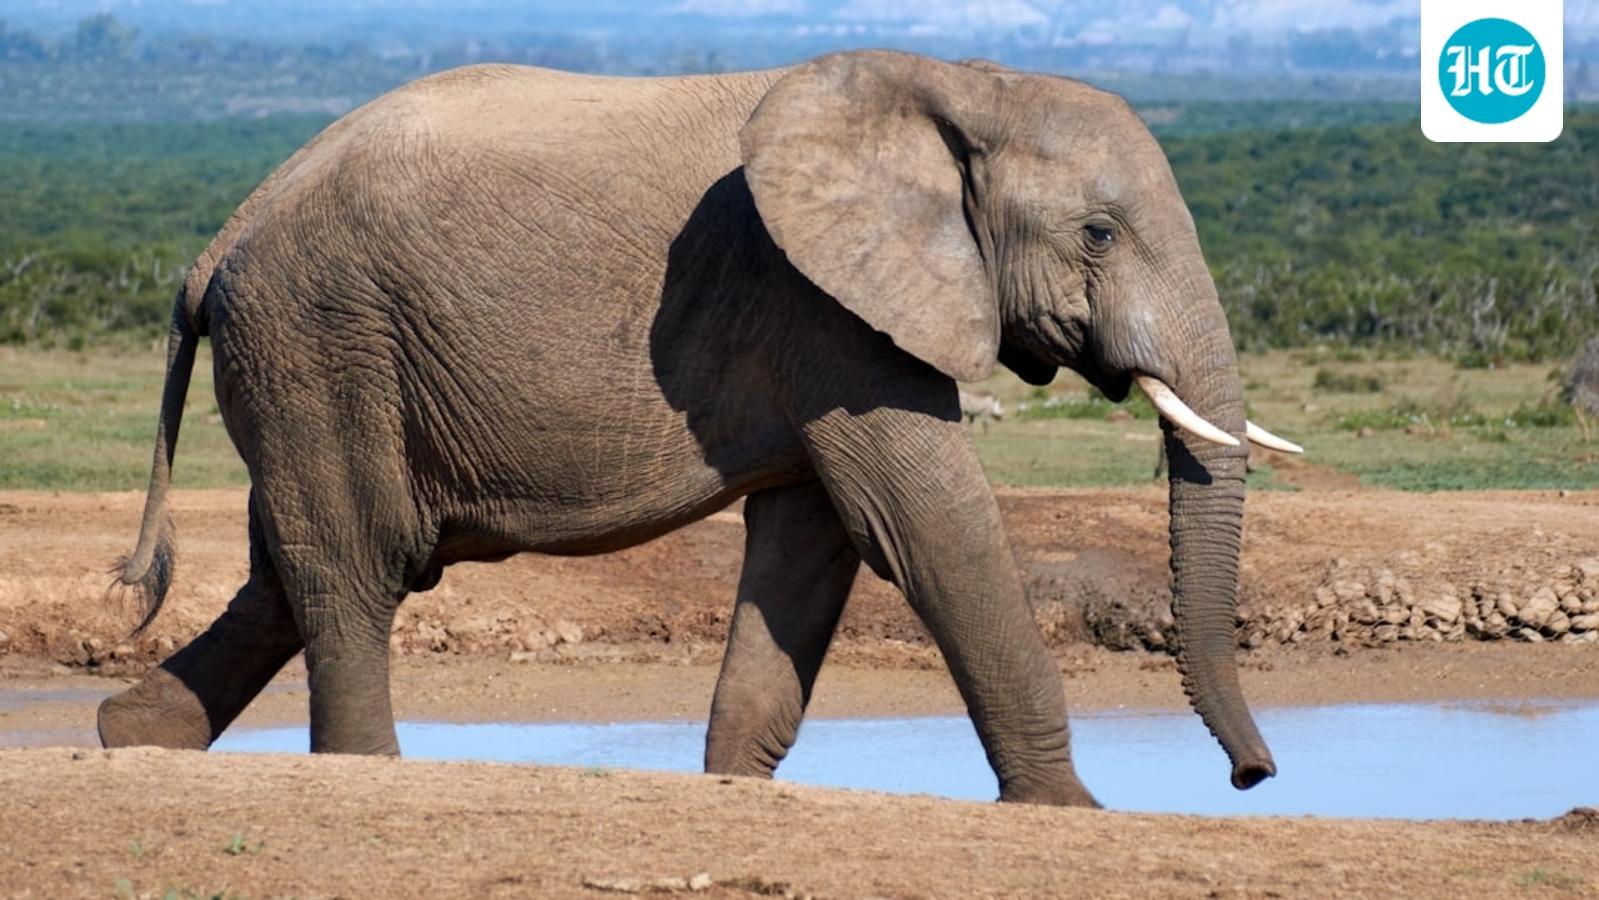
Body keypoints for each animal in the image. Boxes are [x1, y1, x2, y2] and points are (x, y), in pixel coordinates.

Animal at [96, 50, 1302, 805]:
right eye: (1098, 234)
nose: (1253, 777)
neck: (959, 85)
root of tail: (218, 241)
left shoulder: (823, 321)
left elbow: (812, 545)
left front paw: (731, 787)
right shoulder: (820, 301)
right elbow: (924, 524)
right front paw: (1071, 809)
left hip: (310, 363)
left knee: (289, 568)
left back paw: (128, 738)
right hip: (322, 339)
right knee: (354, 565)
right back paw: (357, 768)